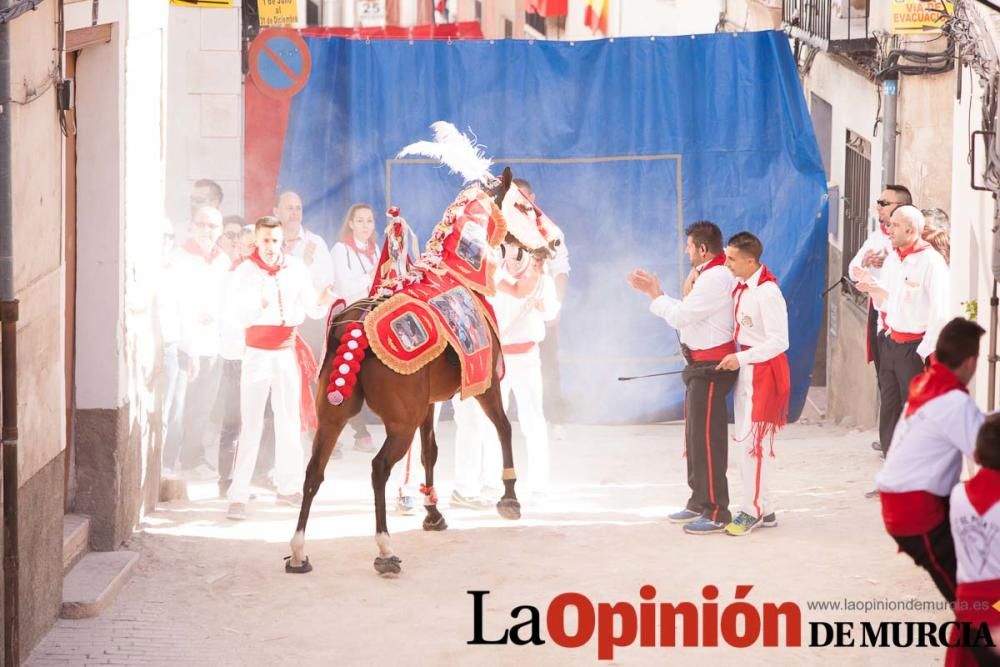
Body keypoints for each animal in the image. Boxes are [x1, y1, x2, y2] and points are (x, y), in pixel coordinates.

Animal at [288, 166, 556, 576]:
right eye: (525, 207)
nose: (555, 241)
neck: (457, 276)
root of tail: (355, 327)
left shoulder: (429, 402)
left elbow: (430, 451)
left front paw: (433, 513)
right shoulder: (485, 383)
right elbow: (505, 428)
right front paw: (510, 498)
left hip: (333, 416)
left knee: (313, 472)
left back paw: (300, 551)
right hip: (400, 422)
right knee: (378, 468)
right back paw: (384, 549)